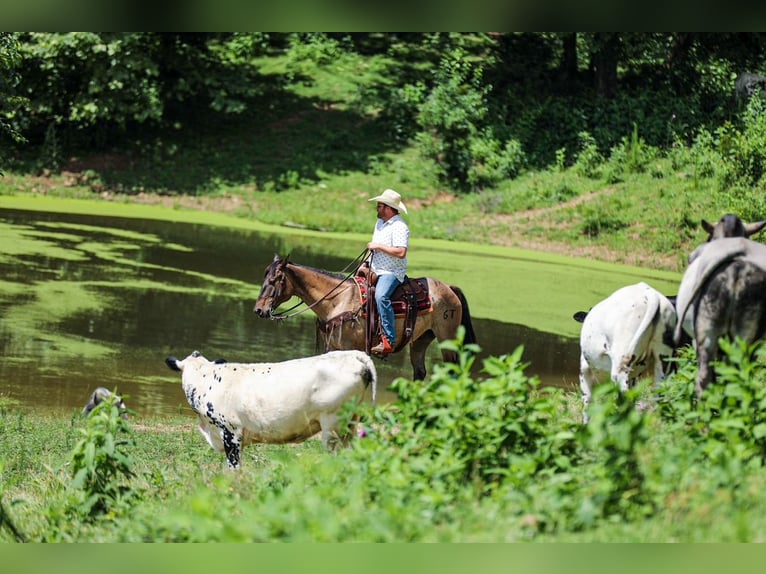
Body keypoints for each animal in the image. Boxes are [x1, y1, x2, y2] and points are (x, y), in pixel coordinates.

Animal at [253, 254, 477, 380]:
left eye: (275, 279)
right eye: (264, 276)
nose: (259, 310)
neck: (338, 299)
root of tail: (450, 289)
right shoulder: (332, 347)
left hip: (448, 339)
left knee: (453, 372)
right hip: (421, 340)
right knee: (420, 372)